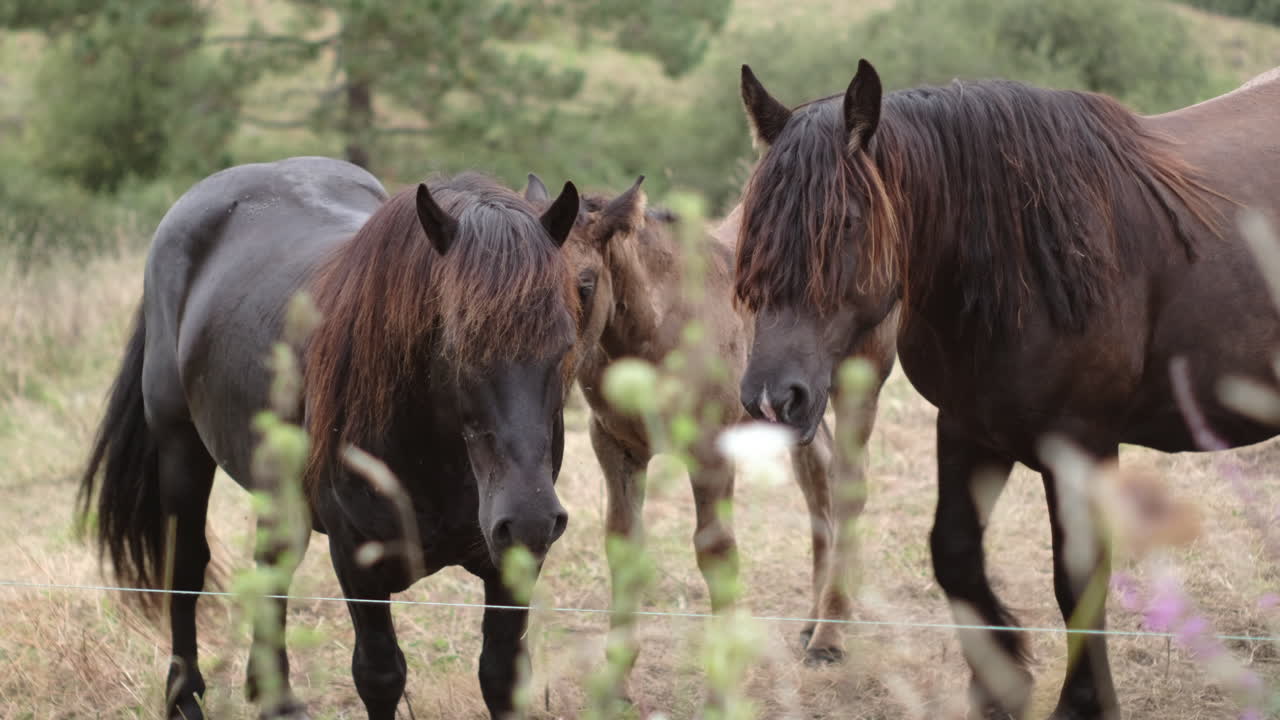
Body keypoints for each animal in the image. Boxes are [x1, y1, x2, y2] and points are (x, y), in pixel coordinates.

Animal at [77, 156, 582, 720]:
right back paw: (184, 697)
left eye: (565, 345)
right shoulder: (357, 560)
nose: (530, 517)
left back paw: (275, 697)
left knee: (272, 564)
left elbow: (500, 674)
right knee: (185, 568)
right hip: (180, 449)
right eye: (456, 347)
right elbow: (380, 675)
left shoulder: (513, 563)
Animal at [523, 173, 898, 668]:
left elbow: (715, 548)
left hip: (861, 379)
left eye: (585, 283)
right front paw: (618, 674)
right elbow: (624, 546)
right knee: (818, 475)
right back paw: (812, 622)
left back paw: (830, 636)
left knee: (849, 483)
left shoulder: (711, 448)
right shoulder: (616, 446)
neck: (660, 333)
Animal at [733, 61, 1280, 719]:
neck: (1021, 263)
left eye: (844, 222)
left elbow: (1078, 578)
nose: (772, 397)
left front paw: (1083, 703)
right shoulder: (967, 428)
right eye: (753, 225)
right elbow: (954, 553)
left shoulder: (1081, 444)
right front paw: (1001, 684)